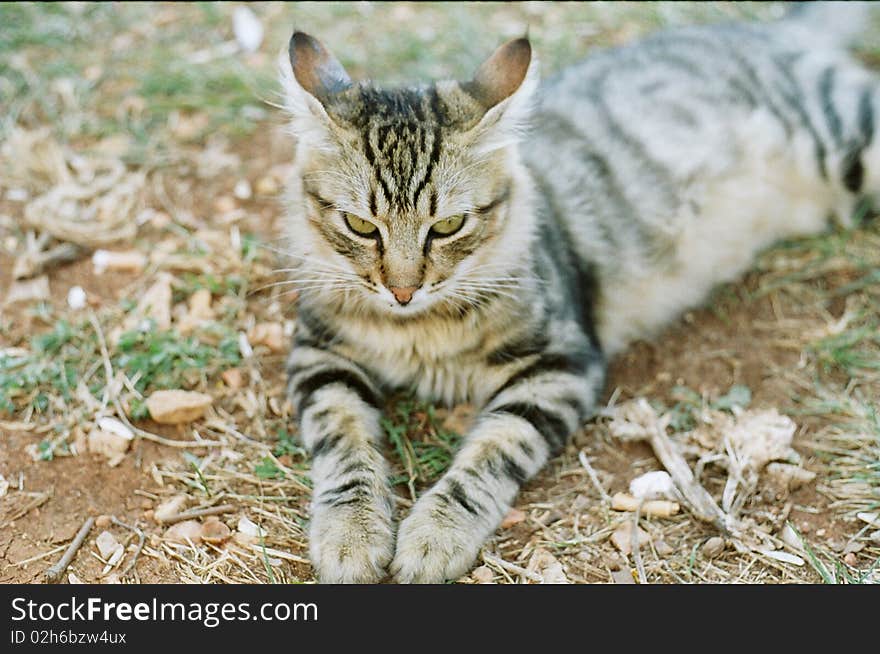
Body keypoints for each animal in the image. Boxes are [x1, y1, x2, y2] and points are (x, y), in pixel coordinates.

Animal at [274, 1, 872, 584]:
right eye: (360, 225)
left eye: (447, 227)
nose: (402, 290)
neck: (416, 329)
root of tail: (760, 31)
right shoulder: (320, 356)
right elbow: (345, 449)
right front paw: (351, 535)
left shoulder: (559, 364)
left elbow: (488, 456)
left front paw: (434, 536)